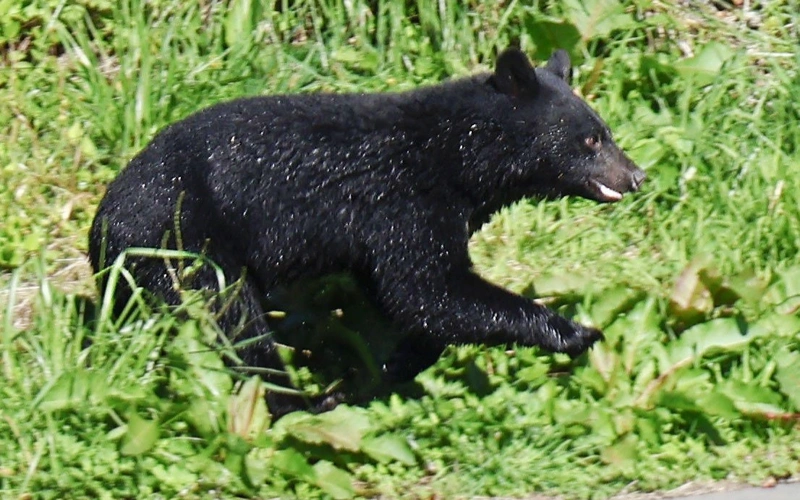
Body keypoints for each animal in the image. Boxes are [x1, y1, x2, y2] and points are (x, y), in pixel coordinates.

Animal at [89, 48, 645, 417]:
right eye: (591, 139)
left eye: (605, 131)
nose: (636, 175)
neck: (456, 156)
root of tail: (101, 229)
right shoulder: (404, 203)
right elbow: (428, 290)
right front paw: (576, 331)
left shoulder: (377, 236)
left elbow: (404, 302)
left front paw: (379, 372)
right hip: (182, 243)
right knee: (235, 320)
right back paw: (296, 403)